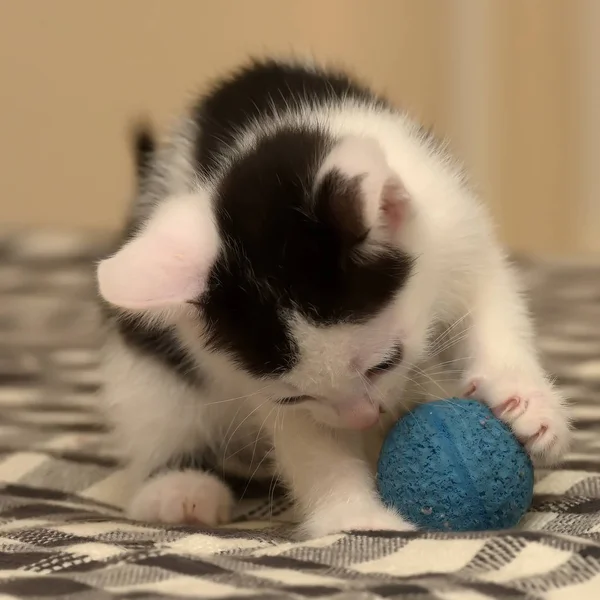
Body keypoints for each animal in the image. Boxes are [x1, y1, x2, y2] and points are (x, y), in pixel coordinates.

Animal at [96, 57, 568, 536]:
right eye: (293, 397)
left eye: (386, 363)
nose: (363, 417)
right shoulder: (256, 386)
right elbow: (308, 437)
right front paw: (356, 518)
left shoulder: (455, 226)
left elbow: (489, 302)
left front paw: (525, 402)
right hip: (152, 368)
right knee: (158, 410)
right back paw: (177, 486)